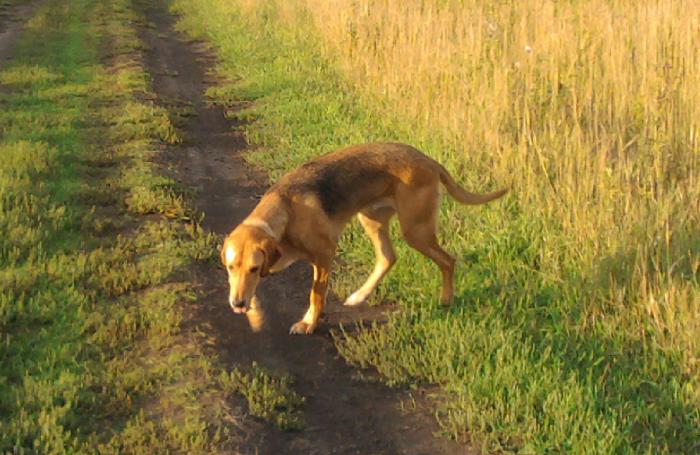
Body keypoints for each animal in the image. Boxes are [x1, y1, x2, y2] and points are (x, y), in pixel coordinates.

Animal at [221, 142, 506, 334]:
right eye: (230, 267)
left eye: (254, 268)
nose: (237, 304)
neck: (286, 210)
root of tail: (428, 161)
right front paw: (254, 315)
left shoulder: (324, 256)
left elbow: (316, 295)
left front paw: (309, 323)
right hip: (372, 219)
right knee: (388, 257)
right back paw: (359, 296)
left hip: (416, 231)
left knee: (448, 261)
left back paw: (446, 300)